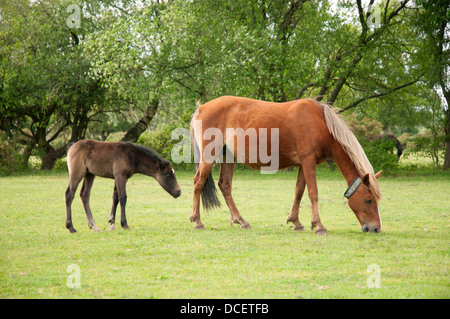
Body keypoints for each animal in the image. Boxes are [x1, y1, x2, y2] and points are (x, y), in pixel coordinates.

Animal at [188, 96, 382, 236]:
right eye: (368, 200)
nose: (376, 228)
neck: (321, 123)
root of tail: (200, 109)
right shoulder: (308, 161)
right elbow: (313, 193)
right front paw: (319, 225)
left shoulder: (303, 164)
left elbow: (299, 192)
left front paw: (296, 222)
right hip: (209, 157)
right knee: (198, 183)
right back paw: (197, 221)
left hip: (228, 157)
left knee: (225, 185)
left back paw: (241, 221)